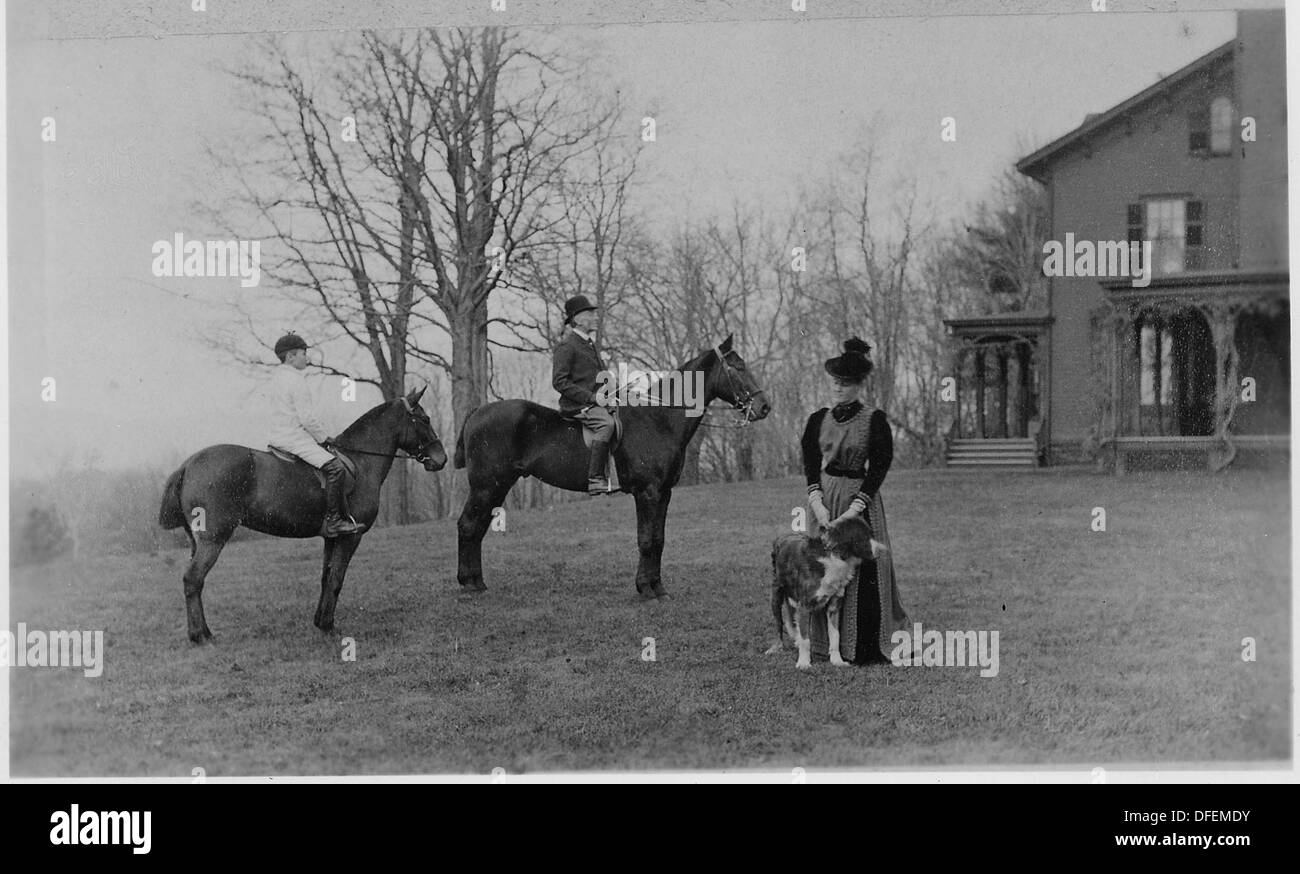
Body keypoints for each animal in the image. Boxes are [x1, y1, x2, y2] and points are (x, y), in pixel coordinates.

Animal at [157, 390, 447, 642]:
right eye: (424, 419)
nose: (441, 459)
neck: (360, 461)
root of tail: (187, 465)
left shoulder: (332, 537)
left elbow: (326, 577)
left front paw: (320, 621)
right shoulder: (351, 536)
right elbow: (337, 579)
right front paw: (328, 626)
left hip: (200, 541)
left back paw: (202, 632)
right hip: (214, 538)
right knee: (193, 579)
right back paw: (200, 637)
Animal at [452, 332, 764, 593]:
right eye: (737, 367)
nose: (764, 407)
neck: (659, 419)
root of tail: (478, 411)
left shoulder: (664, 493)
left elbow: (659, 539)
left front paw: (658, 587)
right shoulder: (647, 492)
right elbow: (646, 539)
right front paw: (645, 589)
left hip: (497, 486)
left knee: (477, 528)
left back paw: (477, 582)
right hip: (486, 487)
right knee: (468, 525)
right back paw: (469, 584)